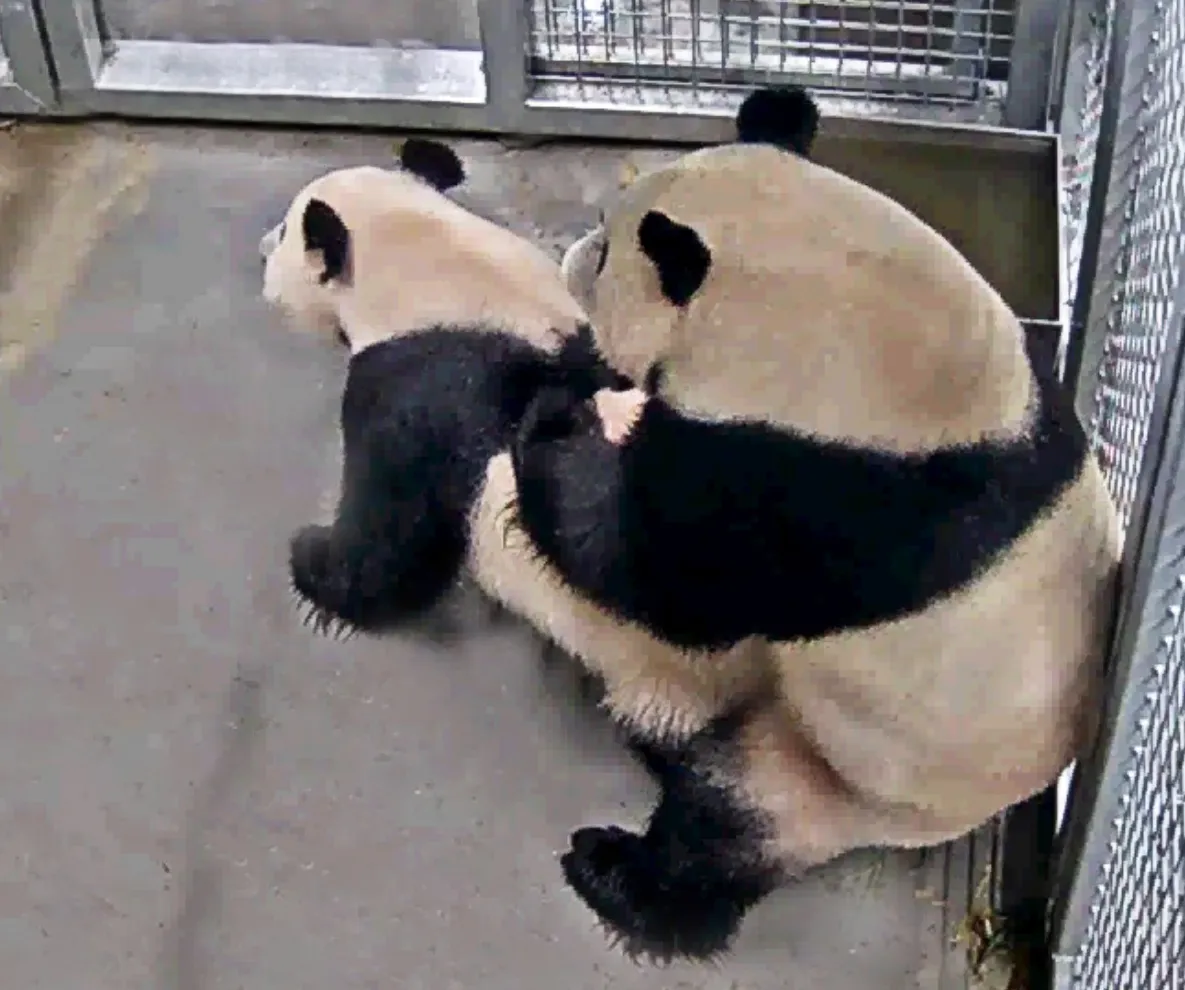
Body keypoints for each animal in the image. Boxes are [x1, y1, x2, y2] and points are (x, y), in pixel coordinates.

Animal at [466, 86, 1122, 960]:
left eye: (606, 253)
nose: (573, 259)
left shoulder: (814, 493)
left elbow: (657, 573)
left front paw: (556, 421)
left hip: (852, 769)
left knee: (731, 815)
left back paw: (622, 878)